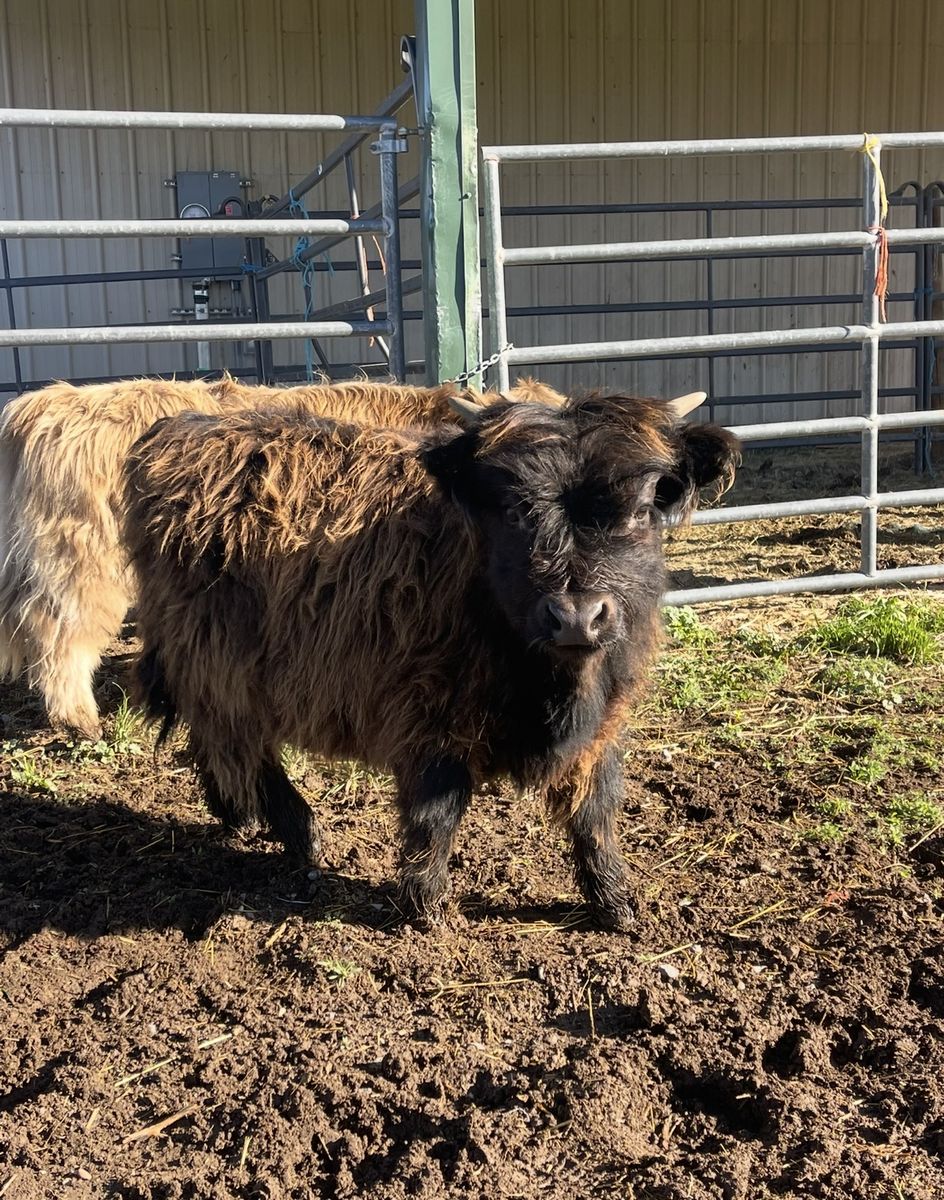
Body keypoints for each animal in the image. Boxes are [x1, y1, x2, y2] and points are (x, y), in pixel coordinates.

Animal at [123, 388, 739, 930]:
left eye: (640, 510)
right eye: (516, 510)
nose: (576, 617)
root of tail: (177, 432)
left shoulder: (604, 721)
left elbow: (595, 814)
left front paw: (616, 901)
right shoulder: (428, 713)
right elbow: (435, 813)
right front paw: (426, 907)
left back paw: (237, 815)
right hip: (218, 665)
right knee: (243, 748)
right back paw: (300, 837)